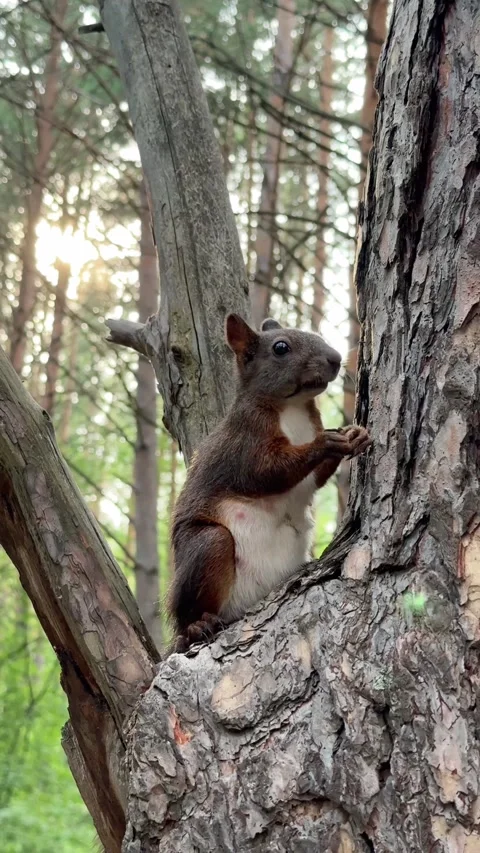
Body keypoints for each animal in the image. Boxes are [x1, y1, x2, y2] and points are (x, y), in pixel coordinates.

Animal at [168, 314, 371, 652]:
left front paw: (354, 435)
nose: (335, 358)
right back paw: (196, 627)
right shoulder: (245, 443)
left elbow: (314, 479)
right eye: (280, 348)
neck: (292, 407)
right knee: (187, 612)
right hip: (207, 547)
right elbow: (267, 473)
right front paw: (325, 442)